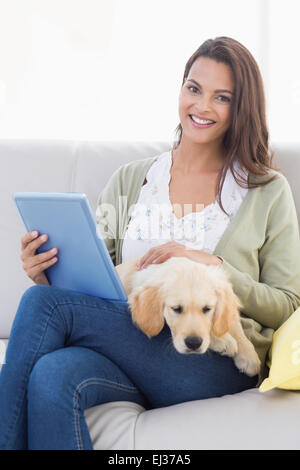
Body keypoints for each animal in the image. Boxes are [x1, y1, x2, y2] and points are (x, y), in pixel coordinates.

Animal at [116, 255, 262, 376]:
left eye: (207, 309)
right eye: (176, 309)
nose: (193, 343)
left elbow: (233, 325)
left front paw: (249, 356)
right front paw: (224, 340)